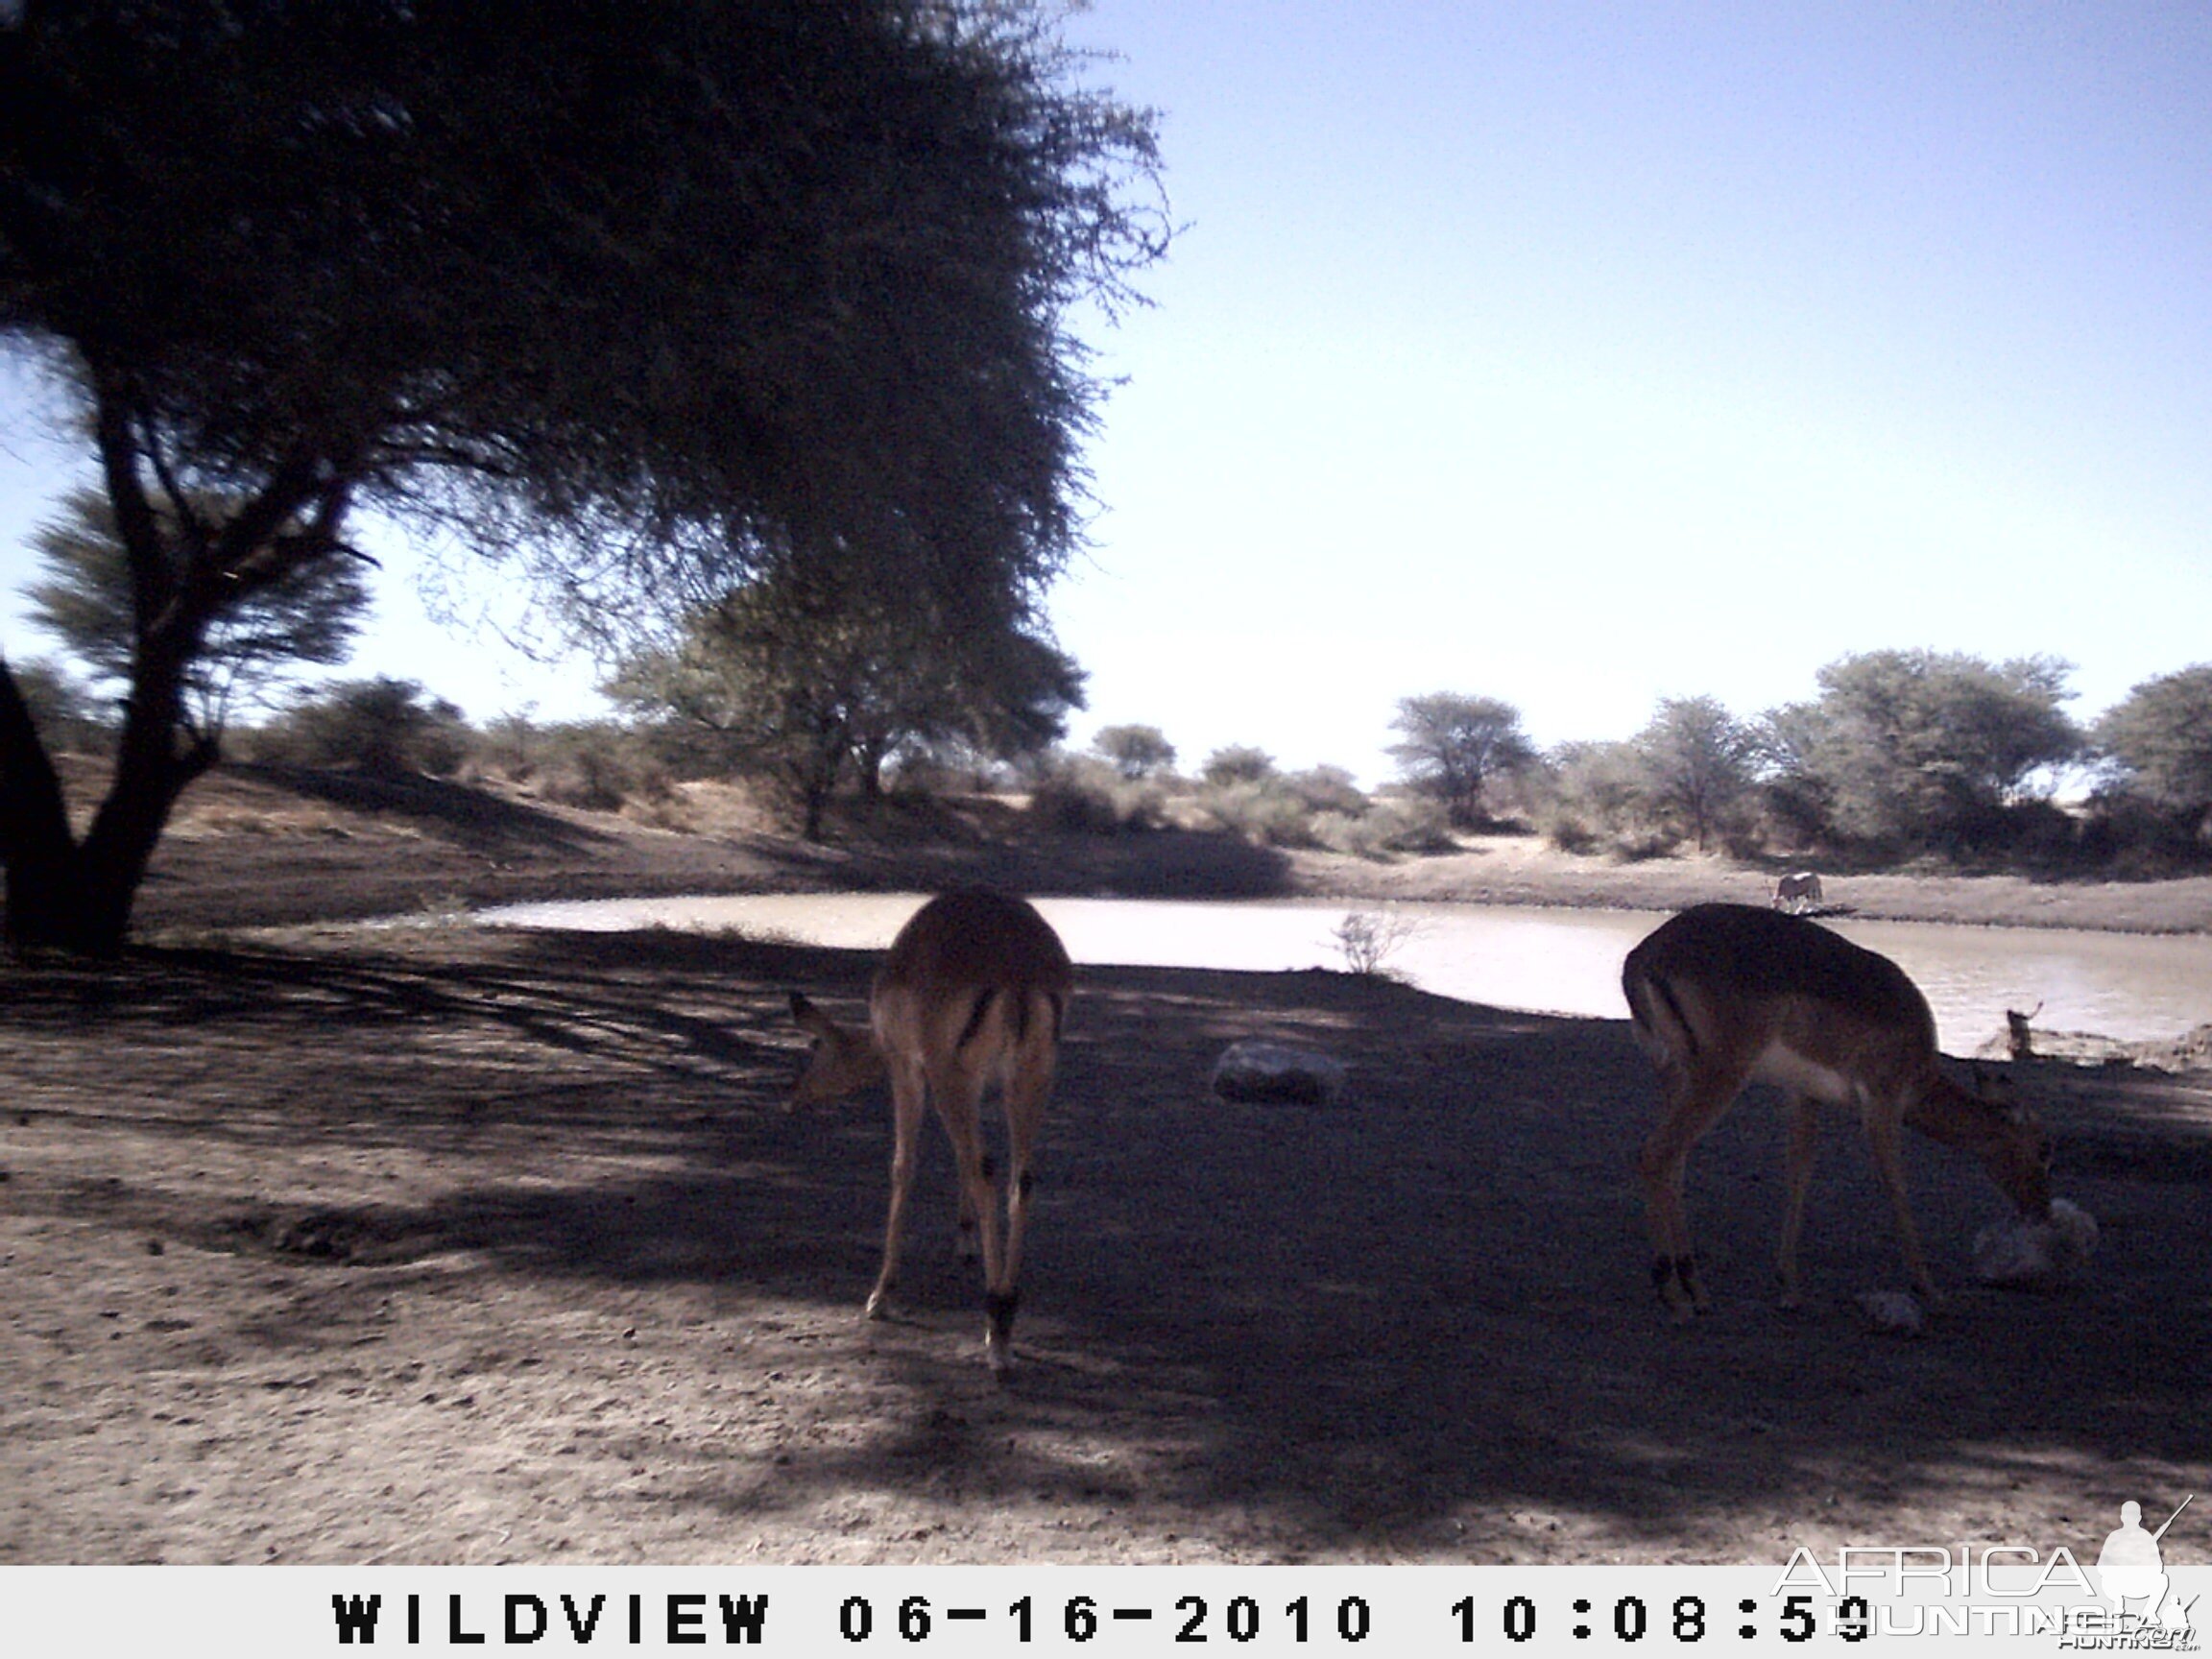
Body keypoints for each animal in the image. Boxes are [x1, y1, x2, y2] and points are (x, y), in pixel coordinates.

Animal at [791, 889, 1074, 1371]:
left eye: (815, 1046)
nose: (793, 1096)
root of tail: (1018, 971)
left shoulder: (906, 1066)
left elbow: (903, 1165)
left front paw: (880, 1296)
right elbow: (963, 1159)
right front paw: (965, 1241)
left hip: (950, 1074)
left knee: (984, 1170)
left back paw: (997, 1331)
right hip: (1032, 1076)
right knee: (1019, 1177)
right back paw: (1004, 1311)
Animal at [1619, 902, 2043, 1318]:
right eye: (2042, 1151)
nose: (2038, 1209)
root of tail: (1642, 958)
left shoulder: (1803, 1095)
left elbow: (1799, 1172)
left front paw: (1789, 1287)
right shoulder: (1881, 1100)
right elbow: (1895, 1183)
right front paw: (1929, 1288)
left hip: (1674, 1075)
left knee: (1673, 1162)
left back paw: (1696, 1289)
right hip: (1719, 1075)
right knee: (1654, 1154)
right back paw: (1673, 1292)